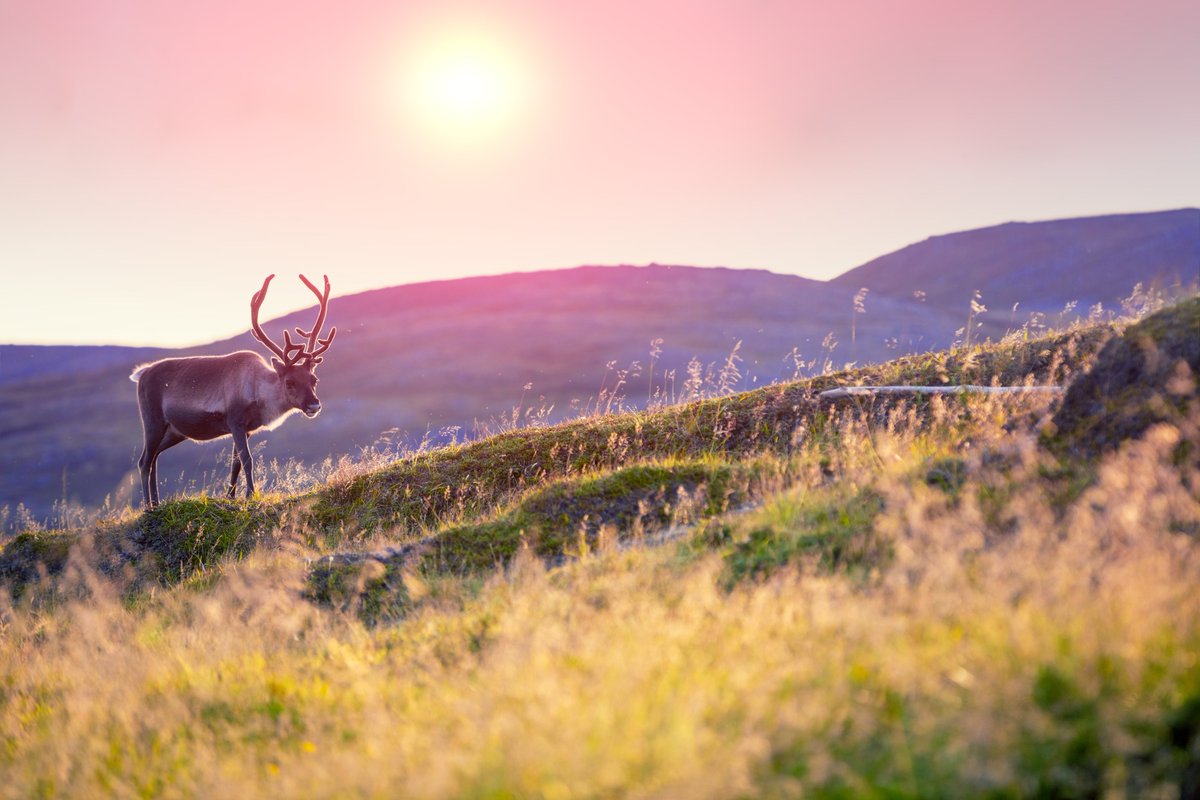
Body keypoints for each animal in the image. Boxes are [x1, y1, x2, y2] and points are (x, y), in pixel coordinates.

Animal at [130, 274, 336, 508]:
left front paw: (231, 497)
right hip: (153, 421)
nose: (314, 405)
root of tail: (142, 373)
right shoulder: (235, 422)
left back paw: (157, 502)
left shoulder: (246, 429)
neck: (257, 389)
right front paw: (250, 494)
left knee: (155, 457)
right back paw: (148, 506)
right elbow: (247, 460)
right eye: (290, 382)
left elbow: (235, 463)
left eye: (314, 379)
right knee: (144, 461)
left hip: (175, 431)